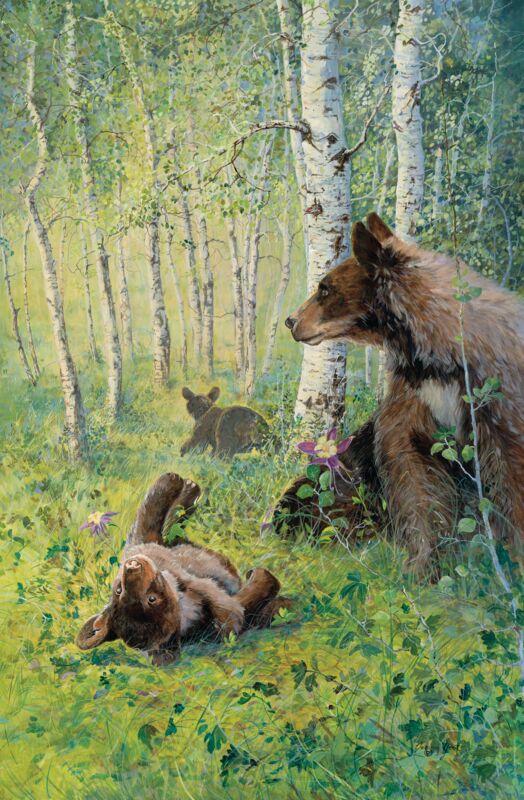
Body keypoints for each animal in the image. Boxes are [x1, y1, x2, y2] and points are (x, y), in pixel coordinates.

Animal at [77, 473, 291, 665]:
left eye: (118, 590)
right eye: (152, 599)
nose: (133, 564)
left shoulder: (147, 549)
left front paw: (178, 484)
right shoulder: (208, 592)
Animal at [279, 212, 524, 574]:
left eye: (325, 289)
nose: (291, 320)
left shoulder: (495, 397)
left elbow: (510, 473)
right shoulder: (415, 399)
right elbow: (414, 474)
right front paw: (425, 563)